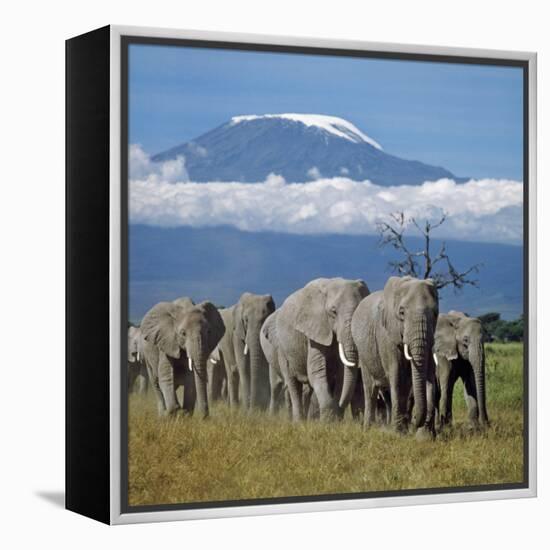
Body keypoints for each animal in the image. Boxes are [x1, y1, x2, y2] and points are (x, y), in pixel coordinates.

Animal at [276, 278, 370, 424]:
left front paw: (335, 420)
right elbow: (316, 371)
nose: (341, 406)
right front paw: (327, 421)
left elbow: (341, 374)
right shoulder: (315, 327)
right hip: (282, 348)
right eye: (333, 312)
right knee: (293, 384)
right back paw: (299, 423)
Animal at [354, 278, 440, 442]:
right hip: (363, 352)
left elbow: (429, 375)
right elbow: (397, 377)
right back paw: (368, 429)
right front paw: (399, 435)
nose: (414, 420)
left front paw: (424, 438)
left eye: (435, 313)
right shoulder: (386, 335)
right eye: (402, 313)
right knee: (370, 389)